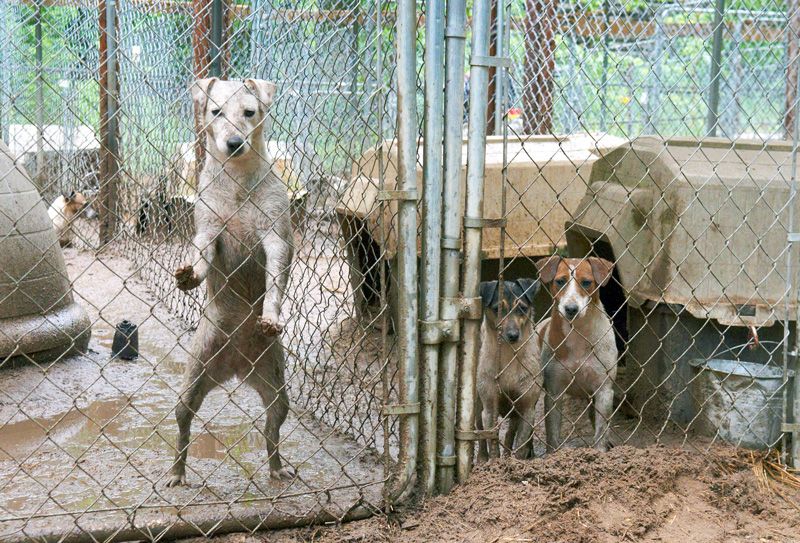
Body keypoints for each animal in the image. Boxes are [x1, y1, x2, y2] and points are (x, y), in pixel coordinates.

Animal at [167, 77, 296, 488]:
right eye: (215, 111)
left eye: (249, 112)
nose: (235, 142)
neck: (238, 179)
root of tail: (237, 365)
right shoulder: (209, 232)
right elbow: (202, 257)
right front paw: (189, 276)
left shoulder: (275, 237)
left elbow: (275, 278)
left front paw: (270, 315)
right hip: (193, 379)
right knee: (183, 428)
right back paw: (177, 472)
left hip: (277, 389)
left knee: (272, 430)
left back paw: (276, 467)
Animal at [478, 278, 540, 462]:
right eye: (497, 309)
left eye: (523, 308)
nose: (513, 335)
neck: (508, 356)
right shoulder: (489, 407)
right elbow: (491, 441)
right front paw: (494, 463)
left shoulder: (527, 408)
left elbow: (520, 444)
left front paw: (516, 463)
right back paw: (481, 458)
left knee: (510, 435)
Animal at [536, 258, 620, 452]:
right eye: (560, 281)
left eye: (586, 282)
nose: (571, 309)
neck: (578, 334)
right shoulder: (554, 393)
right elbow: (552, 433)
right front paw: (553, 455)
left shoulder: (604, 390)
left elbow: (601, 431)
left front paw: (599, 453)